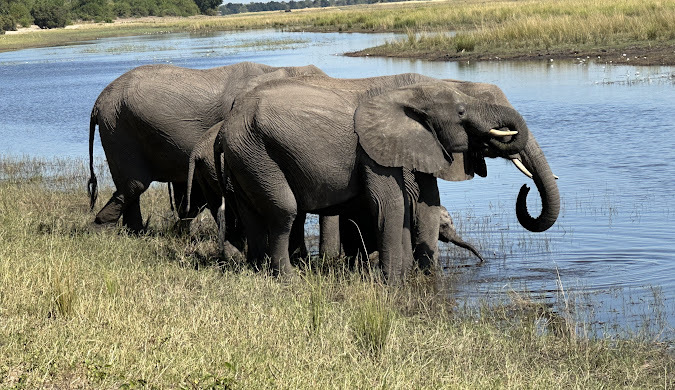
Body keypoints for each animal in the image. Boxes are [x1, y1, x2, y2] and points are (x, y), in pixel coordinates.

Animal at [86, 60, 328, 232]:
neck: (277, 69)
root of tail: (98, 101)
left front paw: (181, 232)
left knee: (131, 187)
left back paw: (135, 232)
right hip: (118, 127)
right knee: (134, 184)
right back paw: (102, 229)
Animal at [218, 72, 560, 280]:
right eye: (462, 113)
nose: (527, 187)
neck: (421, 88)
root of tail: (227, 124)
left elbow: (424, 202)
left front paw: (421, 275)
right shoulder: (374, 148)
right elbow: (393, 203)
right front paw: (397, 279)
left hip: (246, 158)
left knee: (253, 213)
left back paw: (258, 270)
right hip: (257, 152)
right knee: (285, 211)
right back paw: (288, 277)